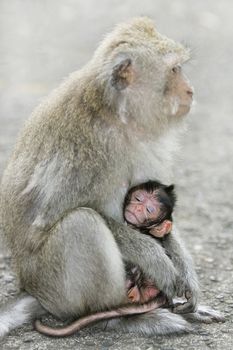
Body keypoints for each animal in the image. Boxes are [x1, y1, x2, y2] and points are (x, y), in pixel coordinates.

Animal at [0, 17, 223, 336]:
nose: (190, 90)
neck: (116, 115)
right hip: (54, 287)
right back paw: (119, 316)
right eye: (173, 70)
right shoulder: (89, 151)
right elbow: (42, 226)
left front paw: (186, 273)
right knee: (82, 223)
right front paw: (155, 258)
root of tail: (29, 288)